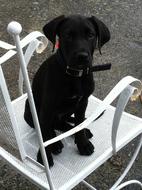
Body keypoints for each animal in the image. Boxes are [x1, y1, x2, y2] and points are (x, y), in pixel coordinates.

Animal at [23, 14, 110, 166]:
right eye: (68, 35)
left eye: (90, 35)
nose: (82, 56)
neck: (74, 75)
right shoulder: (47, 107)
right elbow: (44, 135)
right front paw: (44, 157)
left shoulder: (82, 103)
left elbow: (79, 125)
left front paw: (83, 144)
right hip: (30, 108)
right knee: (50, 127)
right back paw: (55, 144)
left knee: (64, 124)